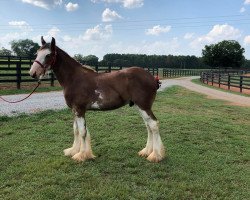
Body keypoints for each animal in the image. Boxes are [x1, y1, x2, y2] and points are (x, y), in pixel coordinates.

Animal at [29, 36, 165, 162]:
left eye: (48, 55)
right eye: (37, 53)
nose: (32, 73)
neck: (74, 78)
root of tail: (152, 78)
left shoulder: (79, 109)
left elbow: (82, 132)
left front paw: (81, 155)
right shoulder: (74, 110)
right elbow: (76, 130)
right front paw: (73, 151)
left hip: (144, 106)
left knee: (153, 125)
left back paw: (155, 155)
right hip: (139, 106)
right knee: (148, 126)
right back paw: (146, 151)